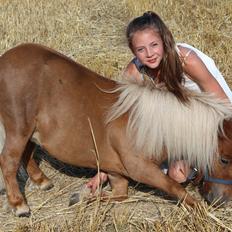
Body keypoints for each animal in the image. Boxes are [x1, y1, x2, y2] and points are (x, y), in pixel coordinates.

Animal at [0, 42, 231, 218]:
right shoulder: (140, 168)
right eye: (224, 159)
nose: (221, 200)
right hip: (18, 129)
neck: (148, 126)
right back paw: (20, 205)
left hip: (31, 132)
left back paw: (43, 182)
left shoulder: (116, 171)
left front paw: (83, 197)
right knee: (9, 161)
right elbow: (176, 188)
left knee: (27, 153)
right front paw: (204, 213)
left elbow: (119, 195)